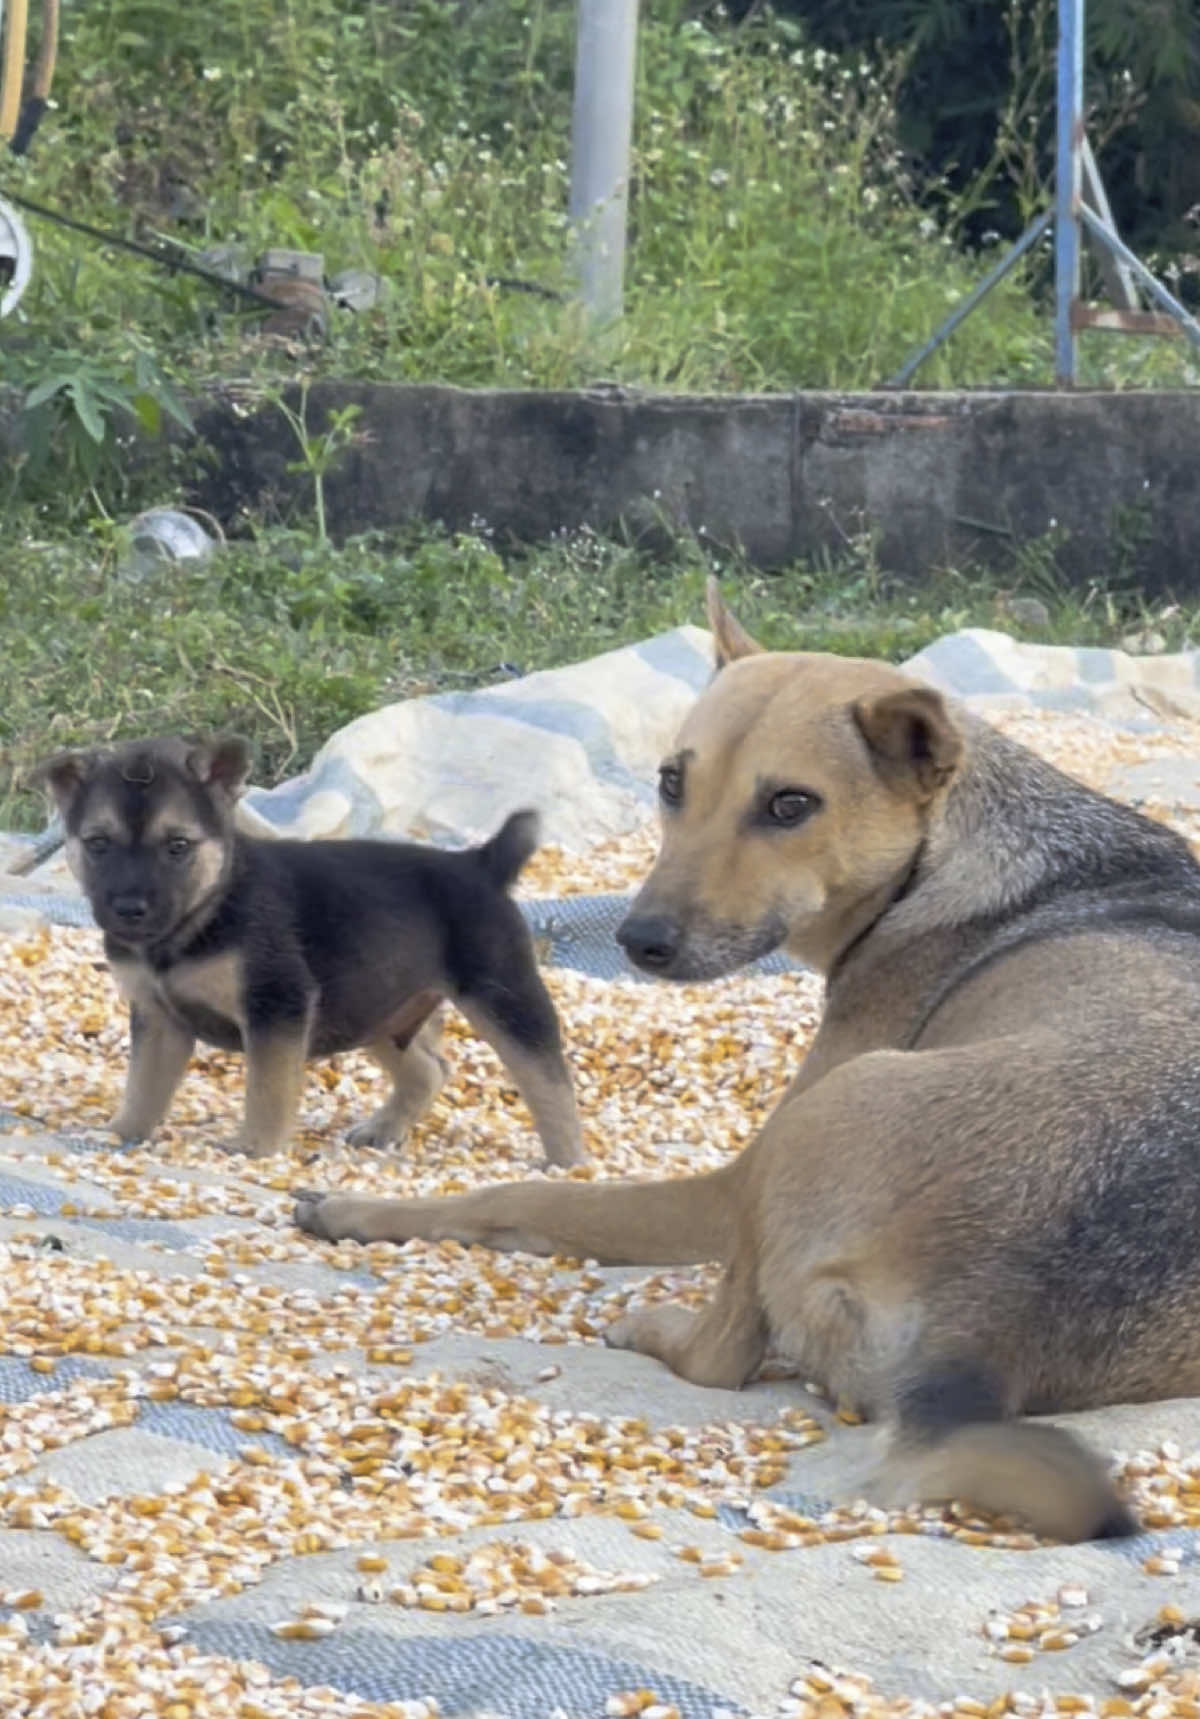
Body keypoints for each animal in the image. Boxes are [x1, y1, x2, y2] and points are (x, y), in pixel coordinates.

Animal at [35, 732, 581, 1162]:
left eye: (178, 847)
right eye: (98, 844)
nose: (130, 909)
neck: (205, 909)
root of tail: (481, 864)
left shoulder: (276, 1007)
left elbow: (268, 1088)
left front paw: (255, 1147)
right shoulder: (159, 1018)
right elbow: (144, 1085)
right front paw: (121, 1132)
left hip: (503, 997)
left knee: (550, 1082)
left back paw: (568, 1164)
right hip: (375, 1009)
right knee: (429, 1070)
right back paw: (381, 1131)